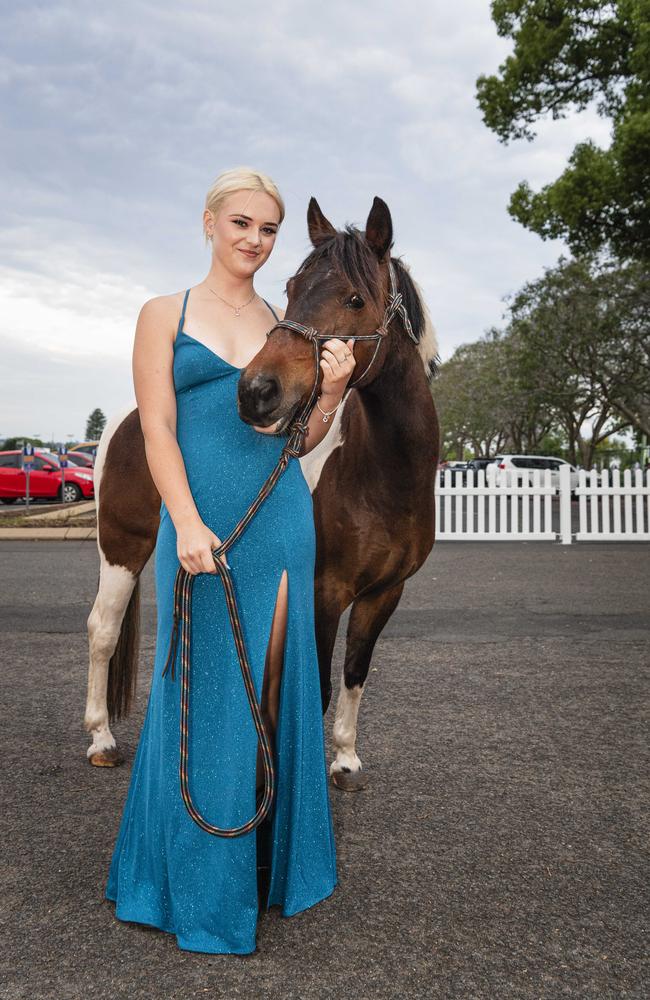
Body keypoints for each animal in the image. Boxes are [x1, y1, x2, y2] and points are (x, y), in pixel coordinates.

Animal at [83, 193, 438, 788]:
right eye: (290, 289)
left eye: (355, 297)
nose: (257, 392)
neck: (382, 476)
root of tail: (124, 420)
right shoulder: (323, 591)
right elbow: (317, 684)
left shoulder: (384, 593)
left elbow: (354, 671)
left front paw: (345, 759)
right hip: (121, 547)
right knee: (102, 630)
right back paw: (102, 739)